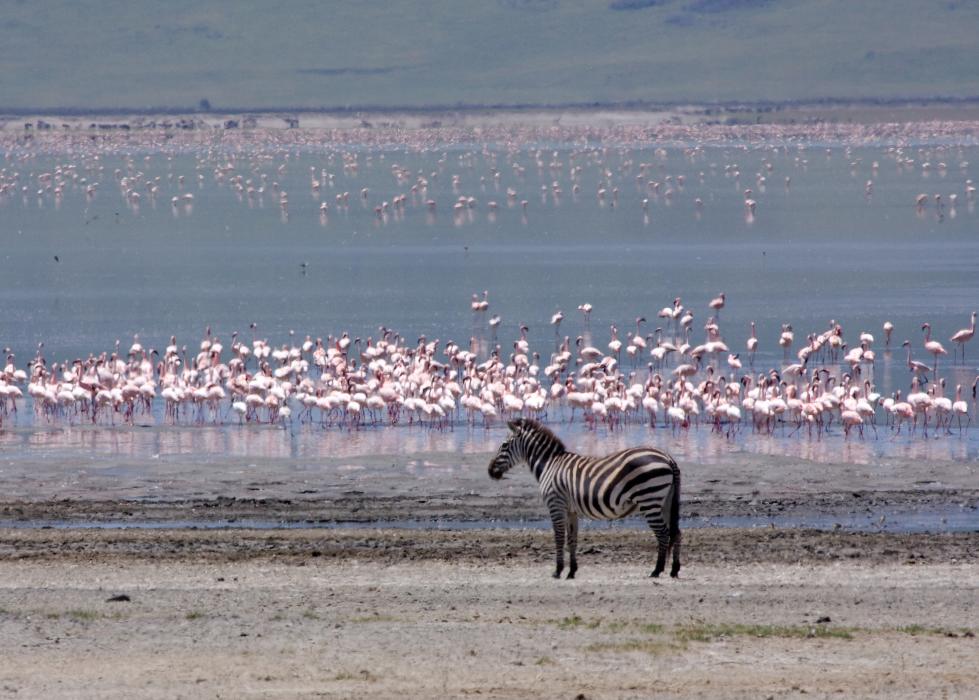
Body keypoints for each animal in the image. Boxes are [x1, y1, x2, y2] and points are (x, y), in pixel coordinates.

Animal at [488, 418, 680, 576]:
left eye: (504, 445)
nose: (490, 471)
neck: (550, 464)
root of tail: (667, 457)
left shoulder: (556, 505)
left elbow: (559, 537)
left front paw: (558, 571)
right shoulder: (571, 511)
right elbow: (572, 539)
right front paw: (572, 571)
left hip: (650, 500)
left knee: (663, 533)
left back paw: (657, 570)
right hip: (665, 502)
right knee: (676, 532)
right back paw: (674, 570)